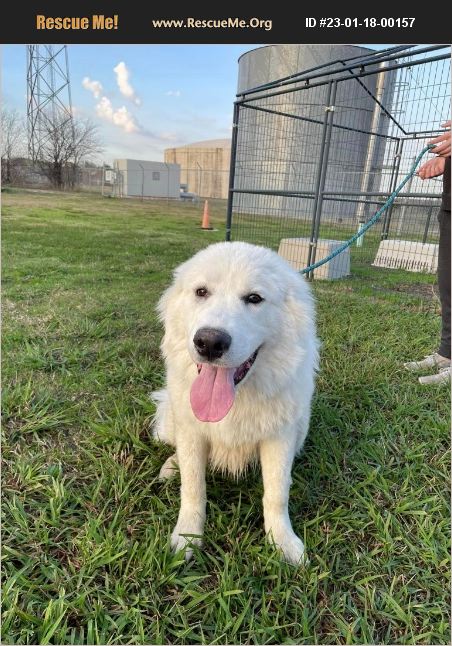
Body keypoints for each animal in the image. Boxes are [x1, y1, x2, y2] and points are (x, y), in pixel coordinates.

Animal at [154, 240, 320, 564]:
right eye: (201, 292)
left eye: (254, 298)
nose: (209, 342)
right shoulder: (192, 432)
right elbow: (193, 487)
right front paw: (188, 537)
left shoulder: (279, 437)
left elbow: (276, 494)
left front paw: (283, 542)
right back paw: (170, 467)